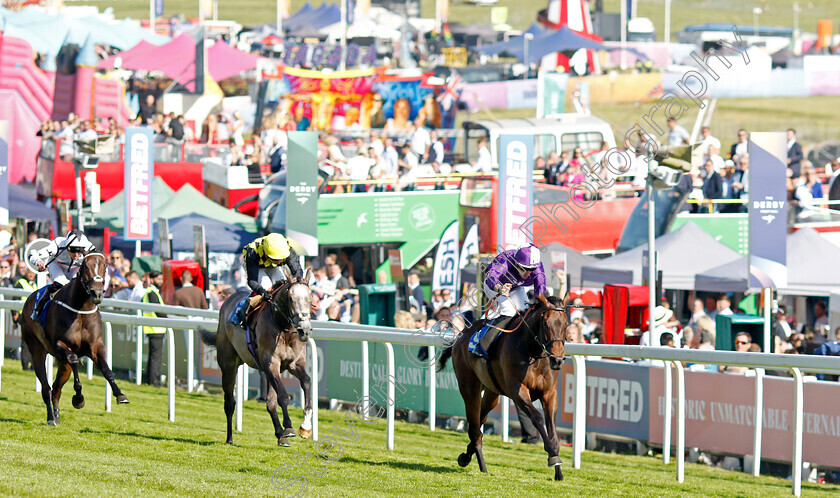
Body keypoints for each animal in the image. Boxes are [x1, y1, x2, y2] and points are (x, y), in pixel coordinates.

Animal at [19, 253, 130, 424]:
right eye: (85, 266)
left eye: (105, 266)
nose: (97, 293)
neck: (80, 309)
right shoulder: (60, 344)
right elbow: (74, 359)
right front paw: (78, 398)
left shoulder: (95, 345)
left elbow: (106, 369)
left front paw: (120, 395)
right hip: (37, 349)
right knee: (46, 387)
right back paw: (51, 417)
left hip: (62, 364)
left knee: (56, 388)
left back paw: (57, 415)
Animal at [201, 268, 316, 448]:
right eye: (291, 298)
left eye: (310, 297)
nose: (304, 330)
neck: (283, 327)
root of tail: (229, 299)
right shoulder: (271, 363)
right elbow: (283, 396)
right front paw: (289, 427)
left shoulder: (294, 364)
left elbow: (307, 382)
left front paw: (305, 427)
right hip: (228, 365)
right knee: (230, 403)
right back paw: (230, 438)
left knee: (270, 403)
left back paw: (280, 435)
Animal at [436, 294, 568, 480]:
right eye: (545, 323)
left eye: (566, 324)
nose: (558, 359)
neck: (531, 352)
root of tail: (461, 335)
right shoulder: (518, 391)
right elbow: (537, 418)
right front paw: (552, 456)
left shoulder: (549, 394)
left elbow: (552, 430)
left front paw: (558, 469)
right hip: (469, 387)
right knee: (474, 425)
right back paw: (480, 465)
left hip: (492, 392)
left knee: (479, 422)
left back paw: (467, 454)